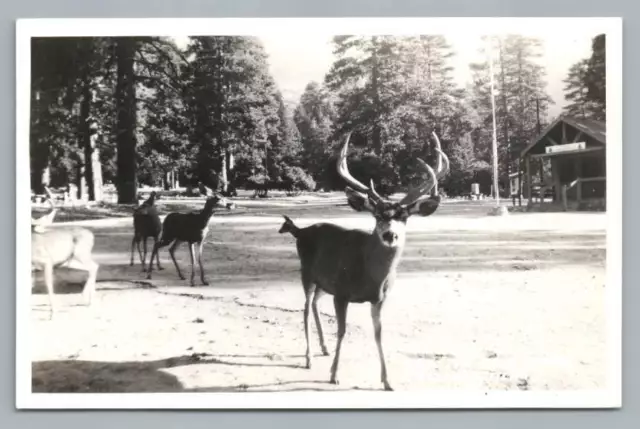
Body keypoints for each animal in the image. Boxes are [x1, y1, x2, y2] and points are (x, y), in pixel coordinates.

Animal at [30, 187, 99, 318]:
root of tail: (92, 235)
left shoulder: (47, 261)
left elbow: (48, 284)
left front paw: (53, 312)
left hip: (81, 253)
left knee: (93, 266)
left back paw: (90, 301)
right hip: (69, 260)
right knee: (94, 267)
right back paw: (85, 298)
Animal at [280, 130, 450, 388]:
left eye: (404, 217)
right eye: (378, 215)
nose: (390, 235)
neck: (370, 276)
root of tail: (300, 231)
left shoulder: (379, 298)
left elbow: (379, 334)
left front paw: (387, 380)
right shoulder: (341, 292)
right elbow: (342, 331)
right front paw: (334, 375)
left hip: (323, 282)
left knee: (316, 304)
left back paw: (324, 348)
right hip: (306, 273)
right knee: (306, 309)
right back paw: (309, 357)